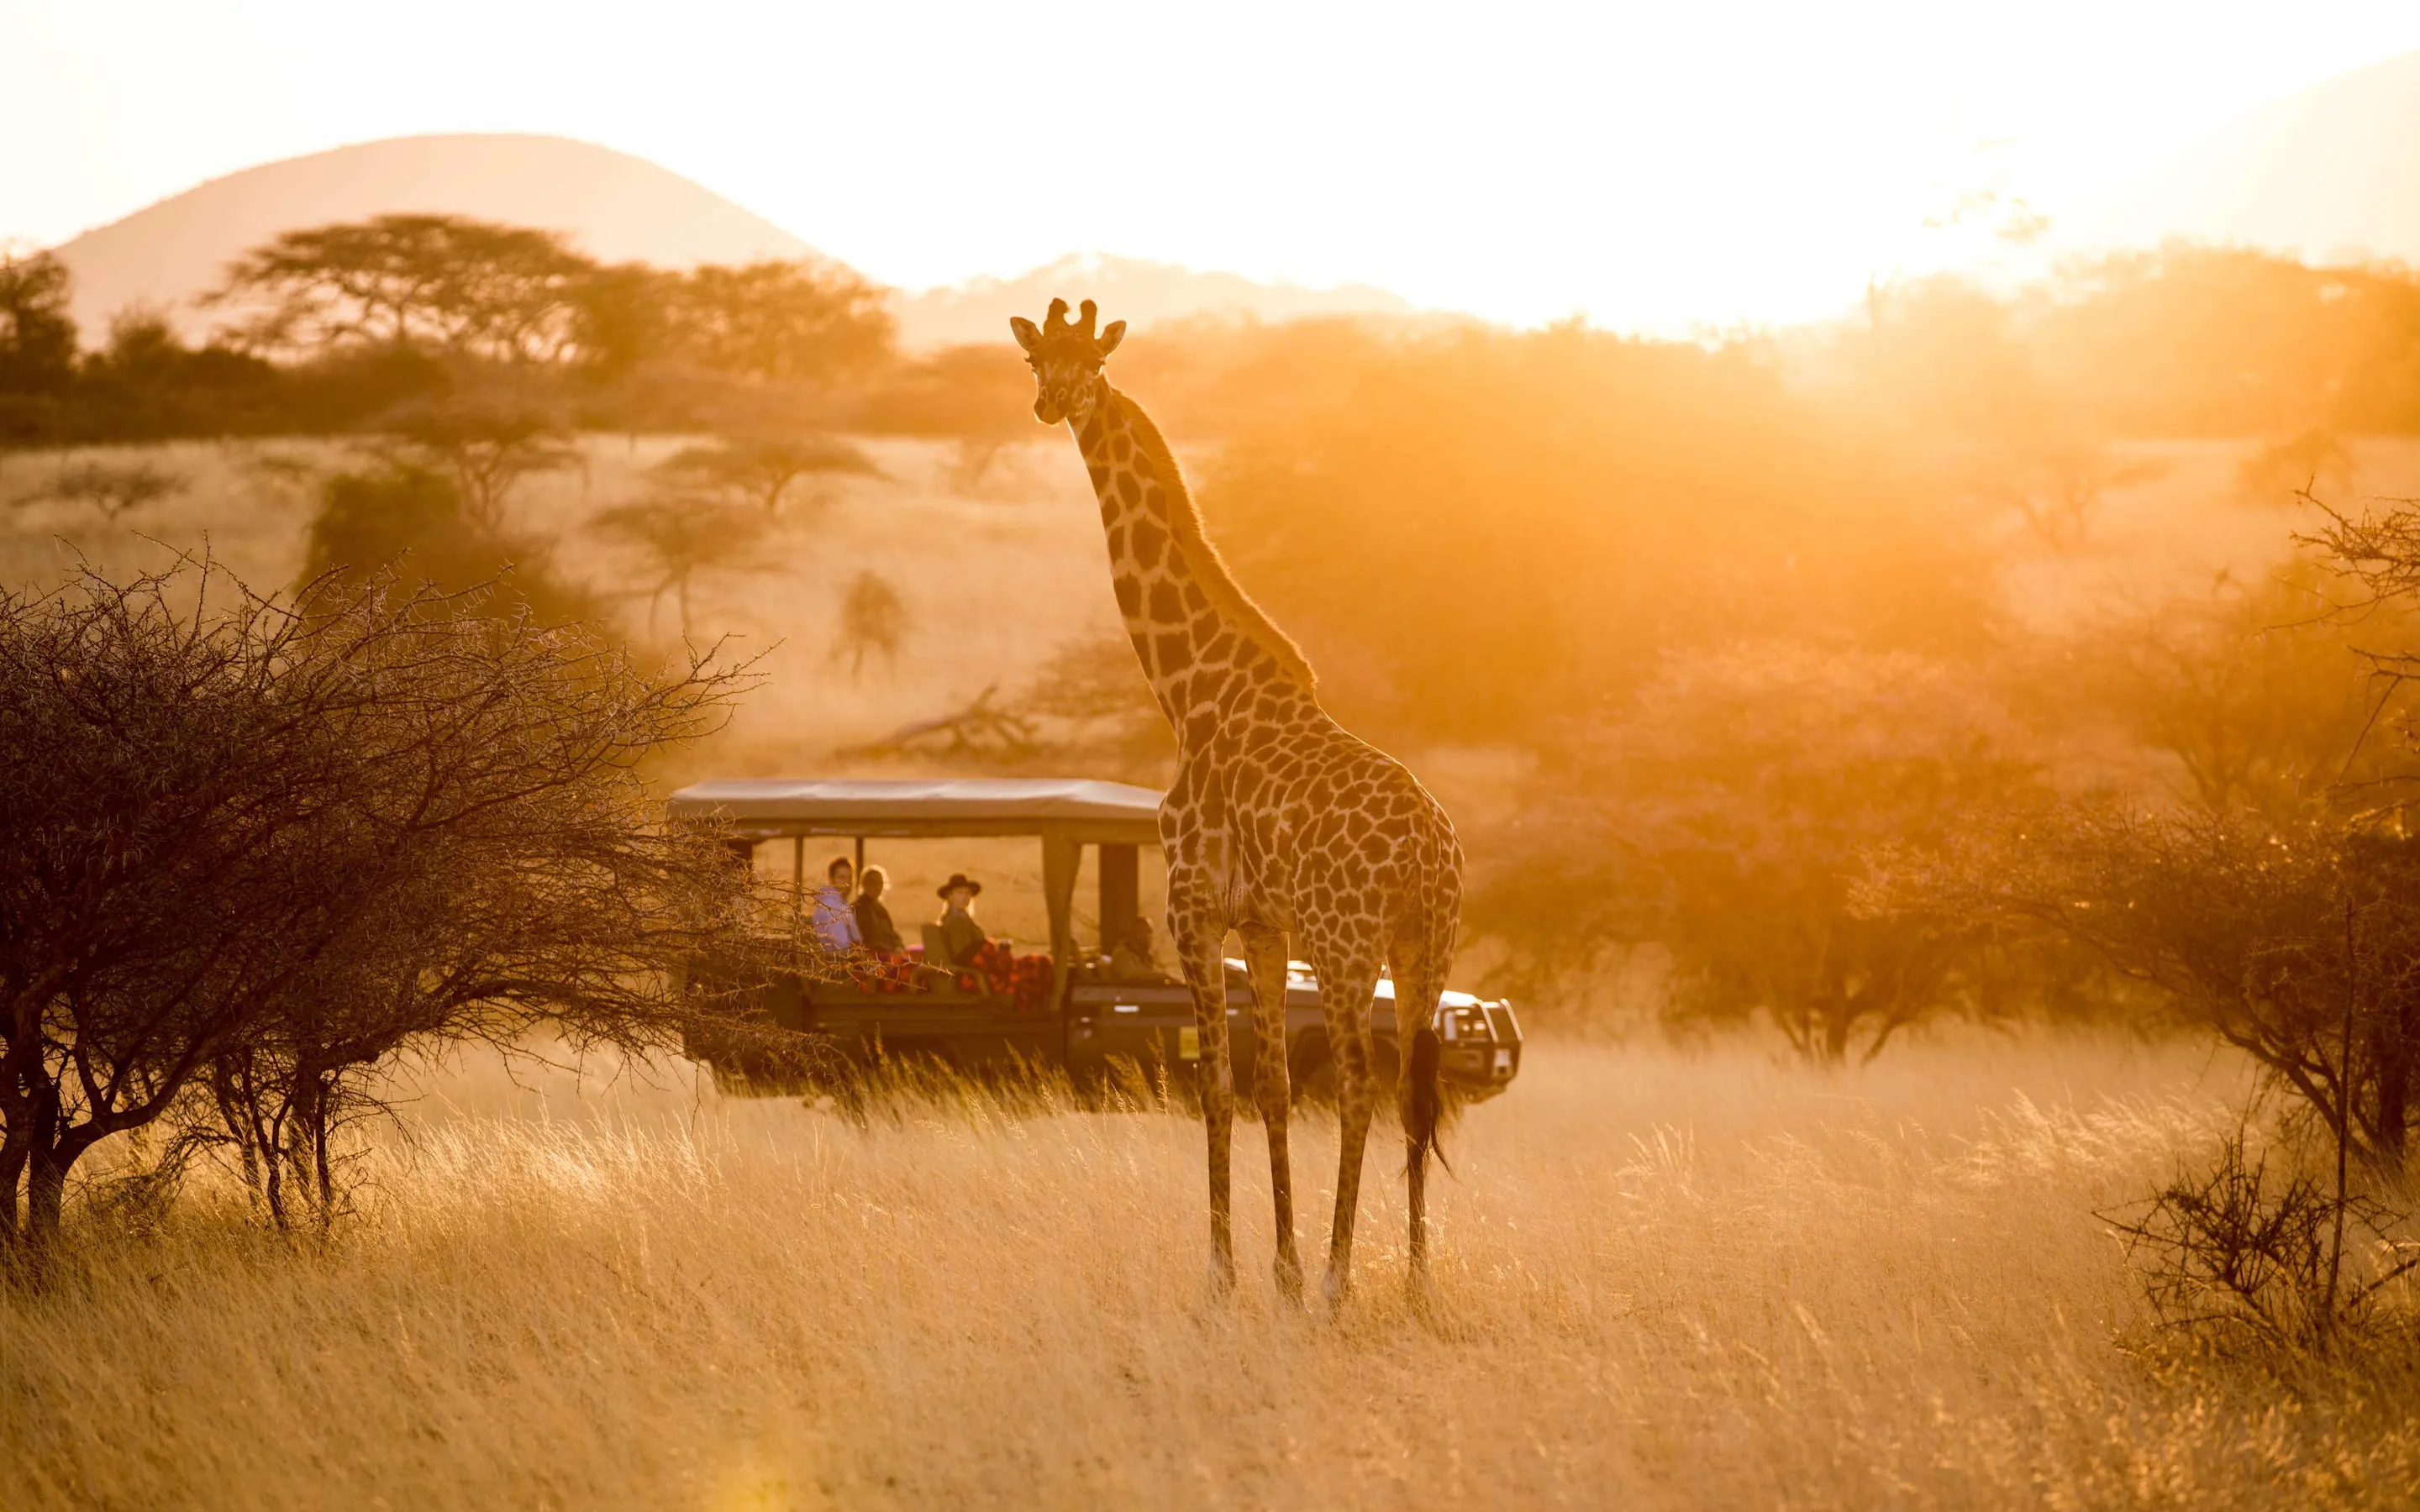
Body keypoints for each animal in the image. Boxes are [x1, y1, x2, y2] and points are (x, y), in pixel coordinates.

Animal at [1011, 298, 1465, 1305]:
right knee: (1414, 1093)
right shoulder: (1262, 924)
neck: (1190, 692)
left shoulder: (1193, 907)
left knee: (1364, 1085)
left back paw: (1343, 1279)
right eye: (1034, 357)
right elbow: (1271, 1088)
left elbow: (1218, 1086)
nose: (1052, 403)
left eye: (1093, 361)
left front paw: (1226, 1275)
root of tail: (1428, 848)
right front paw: (1280, 1271)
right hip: (1428, 944)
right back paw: (1416, 1281)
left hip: (1347, 943)